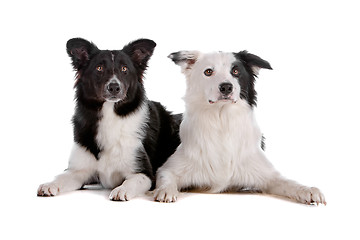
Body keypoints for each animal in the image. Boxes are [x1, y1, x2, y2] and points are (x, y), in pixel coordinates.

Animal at [37, 38, 181, 201]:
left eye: (124, 69)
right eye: (99, 68)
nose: (114, 87)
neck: (110, 114)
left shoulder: (143, 173)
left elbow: (131, 181)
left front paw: (121, 190)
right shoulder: (78, 171)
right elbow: (61, 177)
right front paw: (50, 184)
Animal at [154, 50, 326, 204]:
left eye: (236, 71)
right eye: (208, 72)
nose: (226, 87)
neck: (222, 121)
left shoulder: (268, 175)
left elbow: (288, 182)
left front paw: (308, 190)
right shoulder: (169, 169)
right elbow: (165, 178)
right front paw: (165, 190)